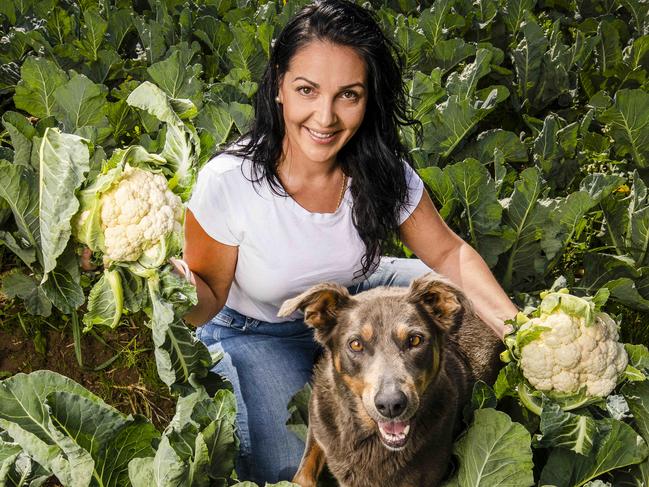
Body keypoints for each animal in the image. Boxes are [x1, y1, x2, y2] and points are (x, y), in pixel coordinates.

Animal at [278, 272, 502, 487]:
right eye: (356, 344)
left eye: (415, 340)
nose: (391, 405)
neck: (368, 438)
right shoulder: (318, 423)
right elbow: (302, 474)